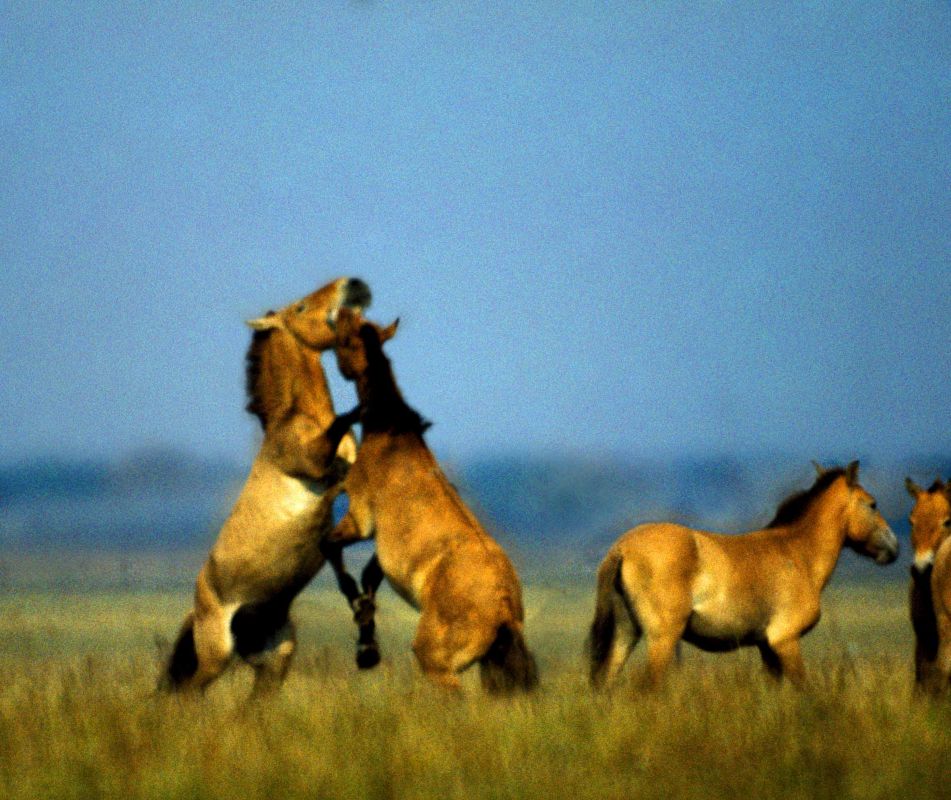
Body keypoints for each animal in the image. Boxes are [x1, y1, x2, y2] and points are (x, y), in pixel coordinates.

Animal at [160, 276, 376, 692]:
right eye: (301, 307)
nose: (354, 284)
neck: (298, 419)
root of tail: (196, 611)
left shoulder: (349, 480)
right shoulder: (316, 466)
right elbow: (340, 428)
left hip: (276, 660)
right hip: (215, 657)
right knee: (187, 693)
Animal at [326, 308, 536, 692]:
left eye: (348, 338)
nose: (341, 310)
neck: (393, 434)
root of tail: (503, 607)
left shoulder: (360, 521)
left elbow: (334, 552)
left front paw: (366, 646)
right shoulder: (382, 546)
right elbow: (369, 575)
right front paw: (367, 641)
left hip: (436, 663)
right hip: (490, 669)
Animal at [588, 460, 900, 692]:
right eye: (872, 504)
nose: (894, 547)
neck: (798, 554)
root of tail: (622, 548)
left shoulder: (767, 649)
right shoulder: (785, 641)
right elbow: (805, 689)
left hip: (627, 633)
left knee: (607, 682)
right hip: (661, 639)